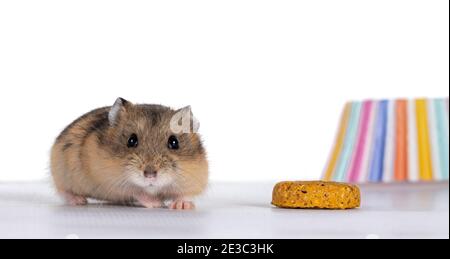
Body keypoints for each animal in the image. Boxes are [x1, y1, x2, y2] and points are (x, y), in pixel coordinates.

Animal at [51, 98, 209, 210]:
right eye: (131, 140)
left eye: (174, 142)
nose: (150, 175)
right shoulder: (111, 181)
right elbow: (137, 192)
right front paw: (157, 204)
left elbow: (185, 195)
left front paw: (181, 206)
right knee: (63, 191)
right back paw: (79, 201)